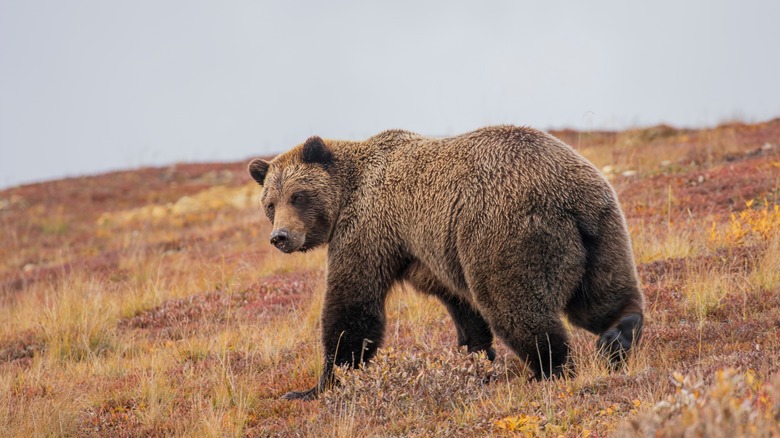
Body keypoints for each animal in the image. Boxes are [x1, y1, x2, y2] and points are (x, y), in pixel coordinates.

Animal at [247, 126, 644, 400]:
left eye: (298, 196)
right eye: (270, 203)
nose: (281, 236)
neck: (350, 190)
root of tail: (570, 194)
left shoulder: (368, 229)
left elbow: (352, 306)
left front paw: (318, 385)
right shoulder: (430, 253)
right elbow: (462, 307)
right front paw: (476, 359)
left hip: (503, 233)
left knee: (515, 305)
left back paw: (549, 369)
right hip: (603, 231)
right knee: (601, 296)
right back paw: (619, 334)